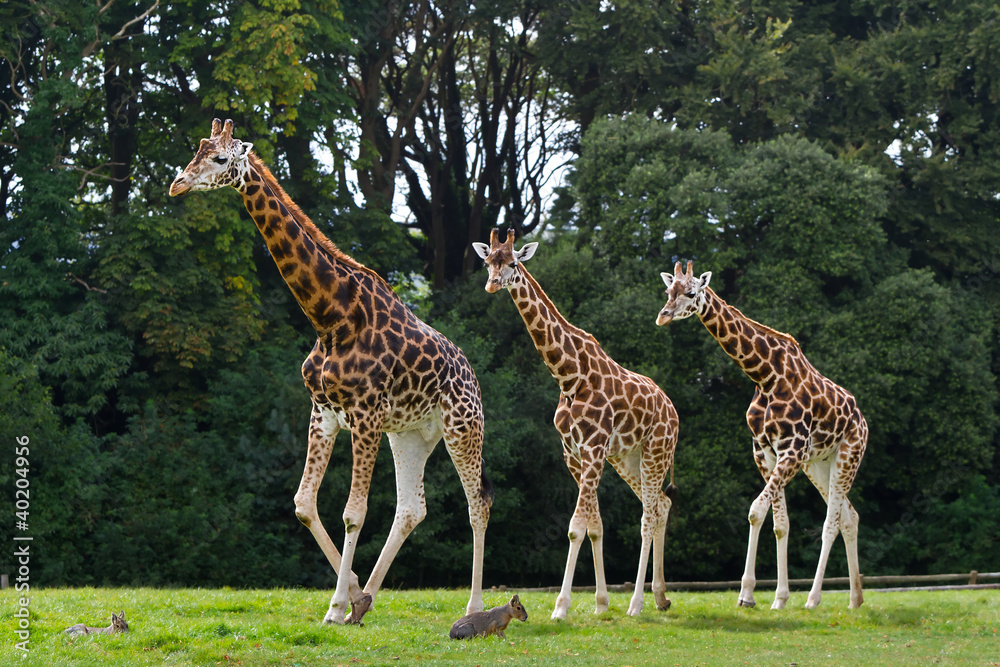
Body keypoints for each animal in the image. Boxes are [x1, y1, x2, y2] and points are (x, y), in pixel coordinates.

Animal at [170, 118, 494, 628]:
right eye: (195, 151)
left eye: (221, 158)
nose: (178, 184)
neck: (331, 317)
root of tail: (472, 376)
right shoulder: (323, 411)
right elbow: (304, 504)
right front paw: (353, 595)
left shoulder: (364, 414)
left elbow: (353, 512)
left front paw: (336, 606)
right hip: (411, 434)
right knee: (411, 508)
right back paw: (370, 598)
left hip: (463, 428)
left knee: (476, 504)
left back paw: (474, 607)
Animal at [474, 231, 680, 620]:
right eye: (488, 260)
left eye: (514, 263)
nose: (492, 284)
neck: (569, 375)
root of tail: (673, 411)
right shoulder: (574, 453)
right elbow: (594, 526)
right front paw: (600, 603)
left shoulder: (594, 449)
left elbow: (575, 528)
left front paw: (561, 607)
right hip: (627, 459)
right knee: (660, 504)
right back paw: (661, 597)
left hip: (655, 452)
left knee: (649, 514)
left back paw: (637, 604)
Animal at [656, 260, 868, 612]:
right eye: (667, 291)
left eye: (692, 293)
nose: (663, 316)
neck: (765, 376)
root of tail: (863, 421)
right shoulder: (764, 451)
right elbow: (778, 524)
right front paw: (774, 598)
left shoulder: (791, 451)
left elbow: (755, 511)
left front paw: (748, 593)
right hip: (820, 465)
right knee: (849, 516)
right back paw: (855, 599)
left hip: (849, 455)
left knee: (832, 521)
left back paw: (813, 598)